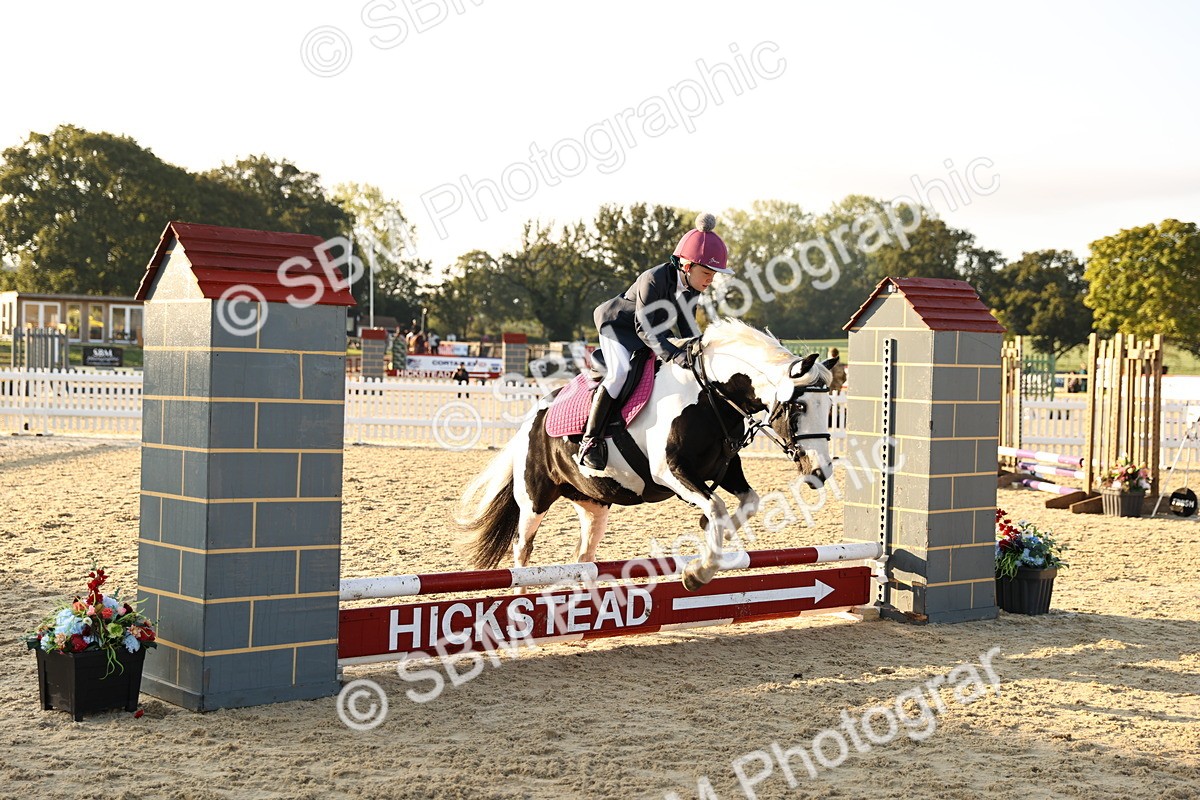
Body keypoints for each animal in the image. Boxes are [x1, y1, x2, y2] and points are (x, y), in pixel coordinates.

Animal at [458, 318, 836, 591]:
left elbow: (748, 502)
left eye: (829, 406)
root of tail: (536, 416)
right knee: (522, 549)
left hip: (593, 504)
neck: (710, 394)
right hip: (534, 500)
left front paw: (717, 535)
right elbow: (715, 506)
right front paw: (697, 573)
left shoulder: (725, 469)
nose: (821, 471)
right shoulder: (671, 471)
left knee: (584, 555)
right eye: (800, 406)